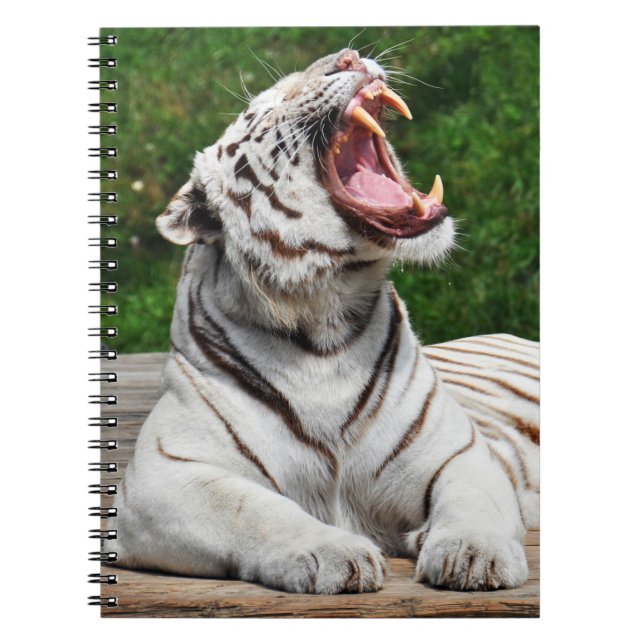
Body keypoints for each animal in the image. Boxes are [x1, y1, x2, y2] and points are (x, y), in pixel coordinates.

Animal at [112, 48, 539, 594]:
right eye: (263, 108)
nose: (348, 57)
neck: (324, 321)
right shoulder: (164, 473)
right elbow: (254, 508)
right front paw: (333, 554)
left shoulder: (460, 452)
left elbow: (473, 501)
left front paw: (473, 554)